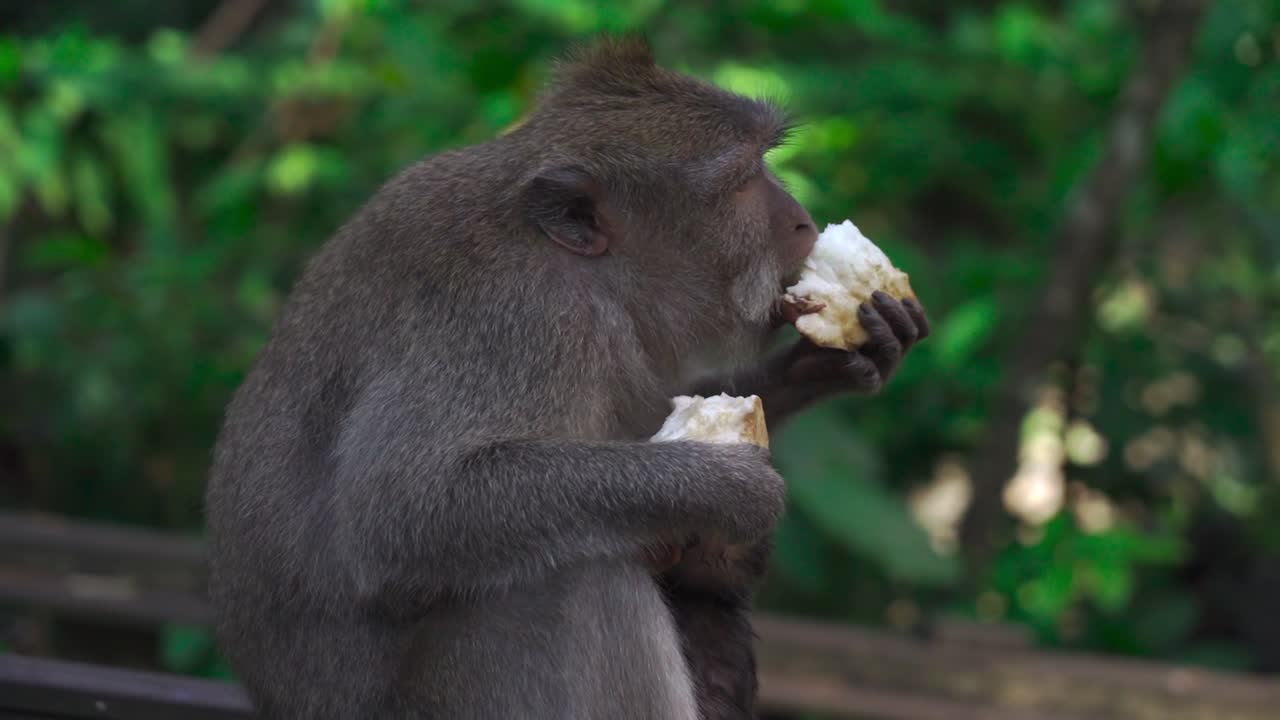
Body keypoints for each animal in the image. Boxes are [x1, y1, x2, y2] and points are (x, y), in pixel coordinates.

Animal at [204, 37, 928, 720]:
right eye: (745, 179)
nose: (803, 219)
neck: (578, 266)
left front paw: (819, 364)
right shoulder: (520, 318)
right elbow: (402, 509)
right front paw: (729, 488)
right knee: (573, 576)